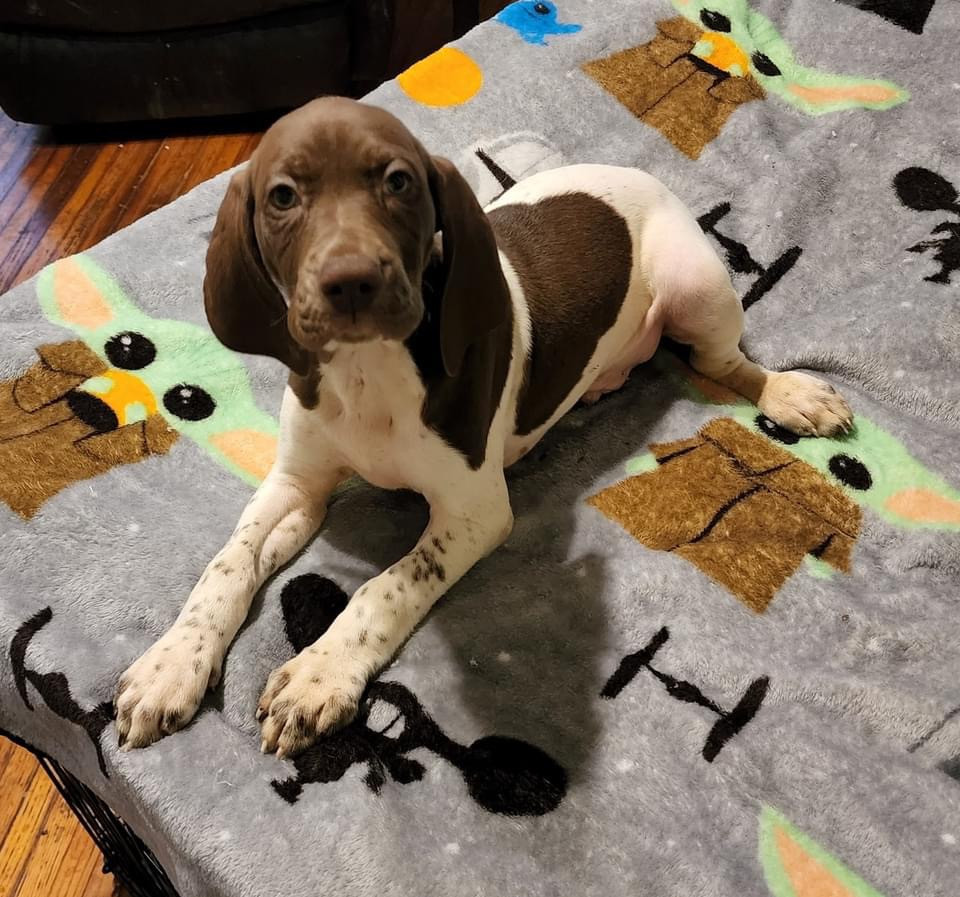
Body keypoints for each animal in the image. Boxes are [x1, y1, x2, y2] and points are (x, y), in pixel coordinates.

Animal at [115, 97, 851, 756]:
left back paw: (790, 393)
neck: (367, 371)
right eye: (283, 196)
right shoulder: (298, 484)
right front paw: (172, 662)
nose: (350, 283)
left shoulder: (475, 511)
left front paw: (320, 675)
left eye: (398, 182)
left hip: (697, 289)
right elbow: (227, 563)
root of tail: (648, 179)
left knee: (725, 363)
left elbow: (386, 586)